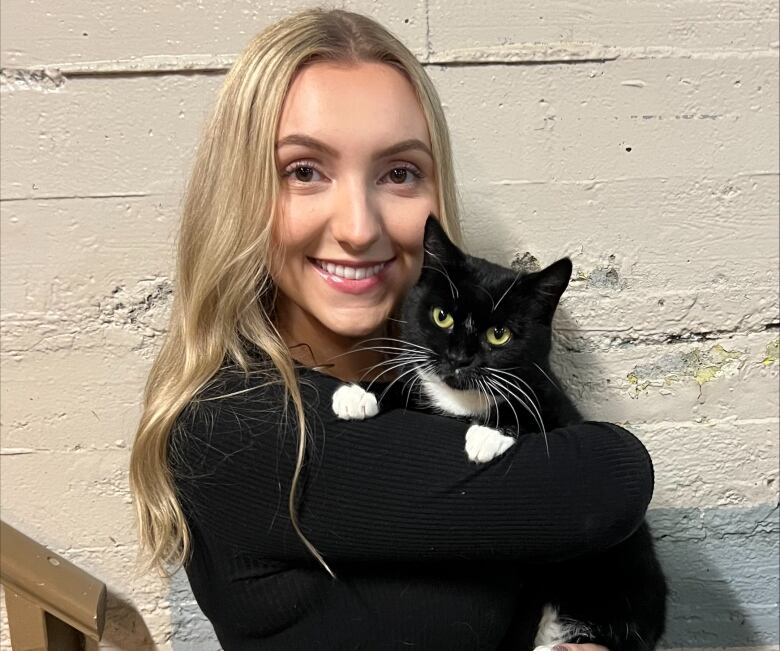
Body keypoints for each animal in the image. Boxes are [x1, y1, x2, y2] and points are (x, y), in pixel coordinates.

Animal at [332, 215, 668, 651]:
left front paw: (488, 434)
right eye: (442, 316)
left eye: (499, 335)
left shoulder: (554, 403)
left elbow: (532, 411)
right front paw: (361, 393)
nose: (459, 358)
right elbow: (407, 387)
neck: (461, 400)